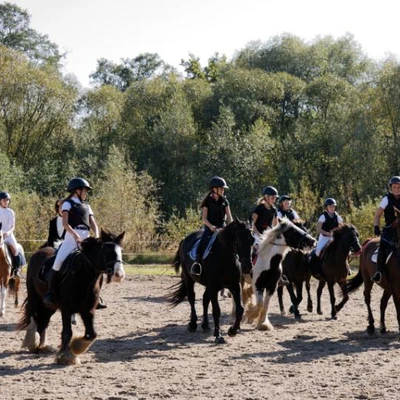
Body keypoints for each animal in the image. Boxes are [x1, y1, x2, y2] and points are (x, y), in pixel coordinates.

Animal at [346, 208, 400, 336]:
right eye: (396, 225)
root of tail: (369, 241)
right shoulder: (396, 288)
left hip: (387, 286)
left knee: (383, 302)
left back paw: (382, 326)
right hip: (368, 279)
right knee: (367, 297)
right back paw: (371, 325)